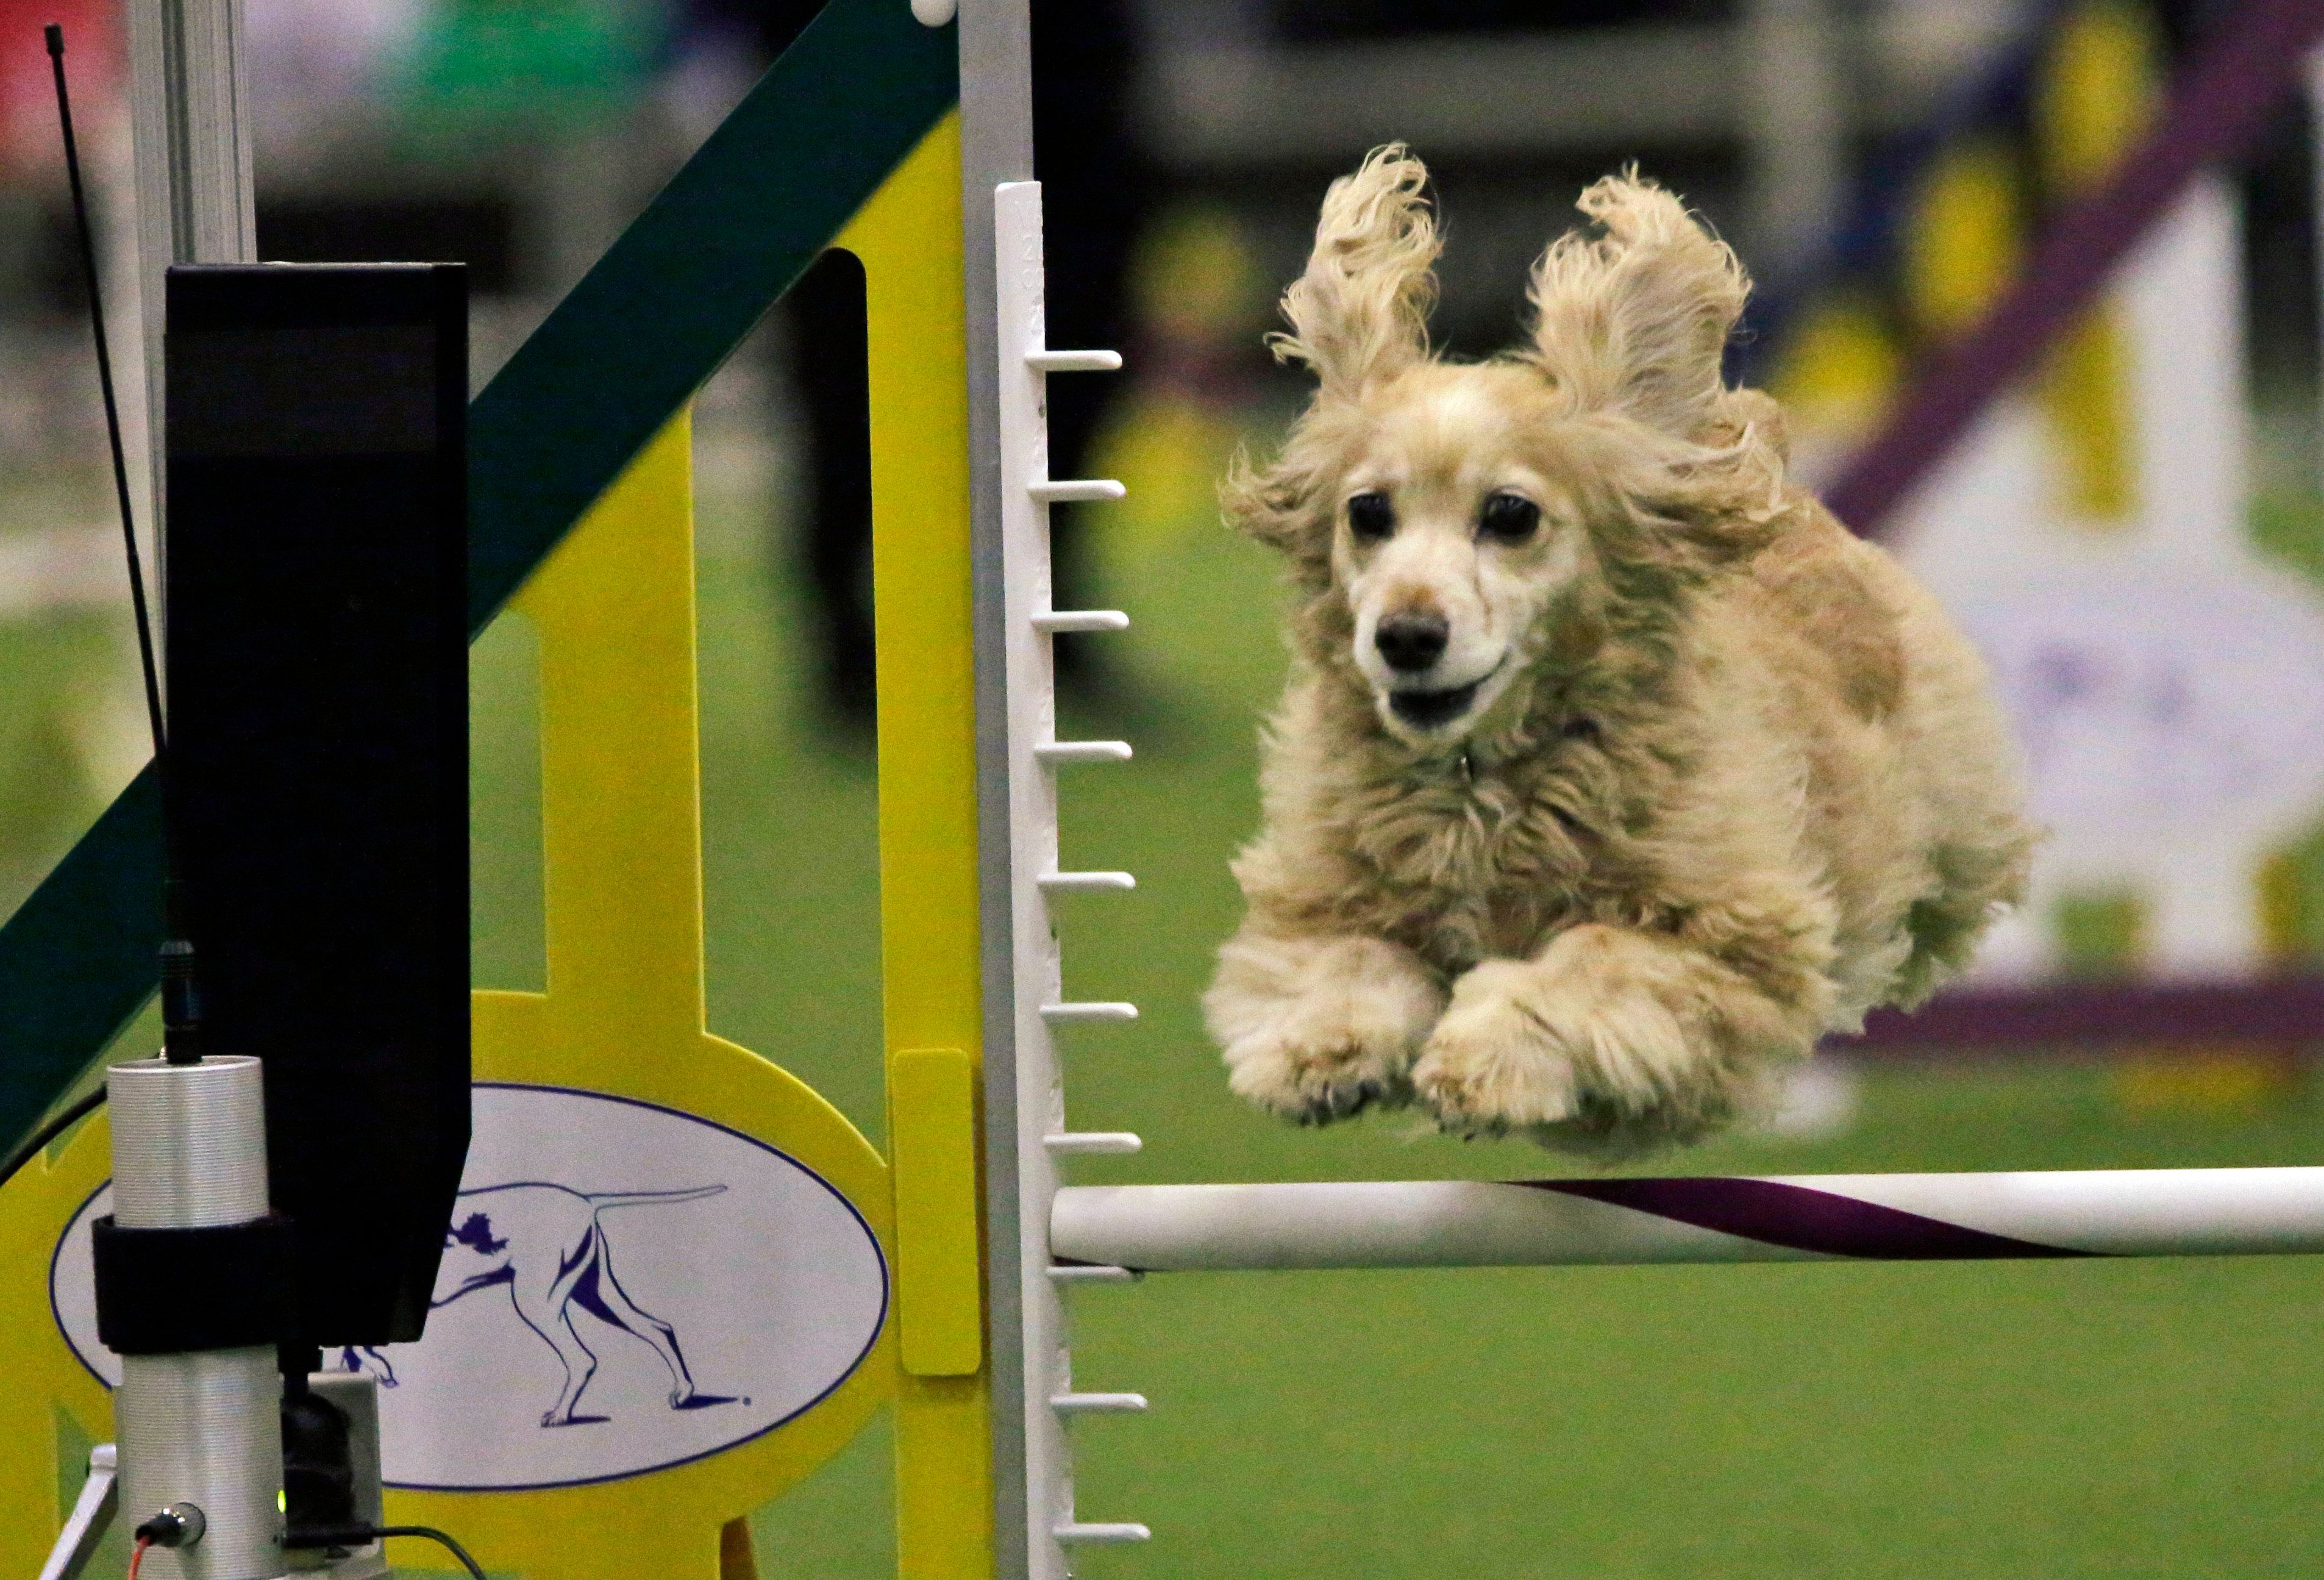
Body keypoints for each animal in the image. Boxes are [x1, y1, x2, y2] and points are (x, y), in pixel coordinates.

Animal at [432, 1180, 729, 1421]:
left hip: (538, 1304)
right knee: (659, 1329)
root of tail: (585, 1201)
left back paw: (561, 1415)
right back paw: (683, 1392)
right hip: (595, 1295)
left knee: (582, 1359)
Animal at [1208, 148, 2026, 1152]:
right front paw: (1319, 1050)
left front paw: (1483, 1057)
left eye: (1510, 514)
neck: (1486, 785)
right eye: (1366, 512)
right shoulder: (1322, 897)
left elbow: (1588, 960)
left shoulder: (1730, 941)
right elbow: (1344, 956)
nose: (1404, 636)